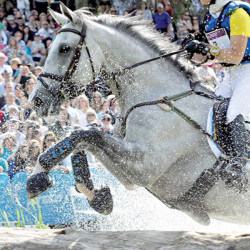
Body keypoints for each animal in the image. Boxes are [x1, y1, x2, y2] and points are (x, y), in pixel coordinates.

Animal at [26, 3, 250, 227]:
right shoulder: (133, 175)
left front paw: (36, 178)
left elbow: (85, 134)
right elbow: (82, 137)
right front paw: (98, 196)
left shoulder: (143, 166)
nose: (36, 101)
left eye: (64, 49)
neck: (157, 95)